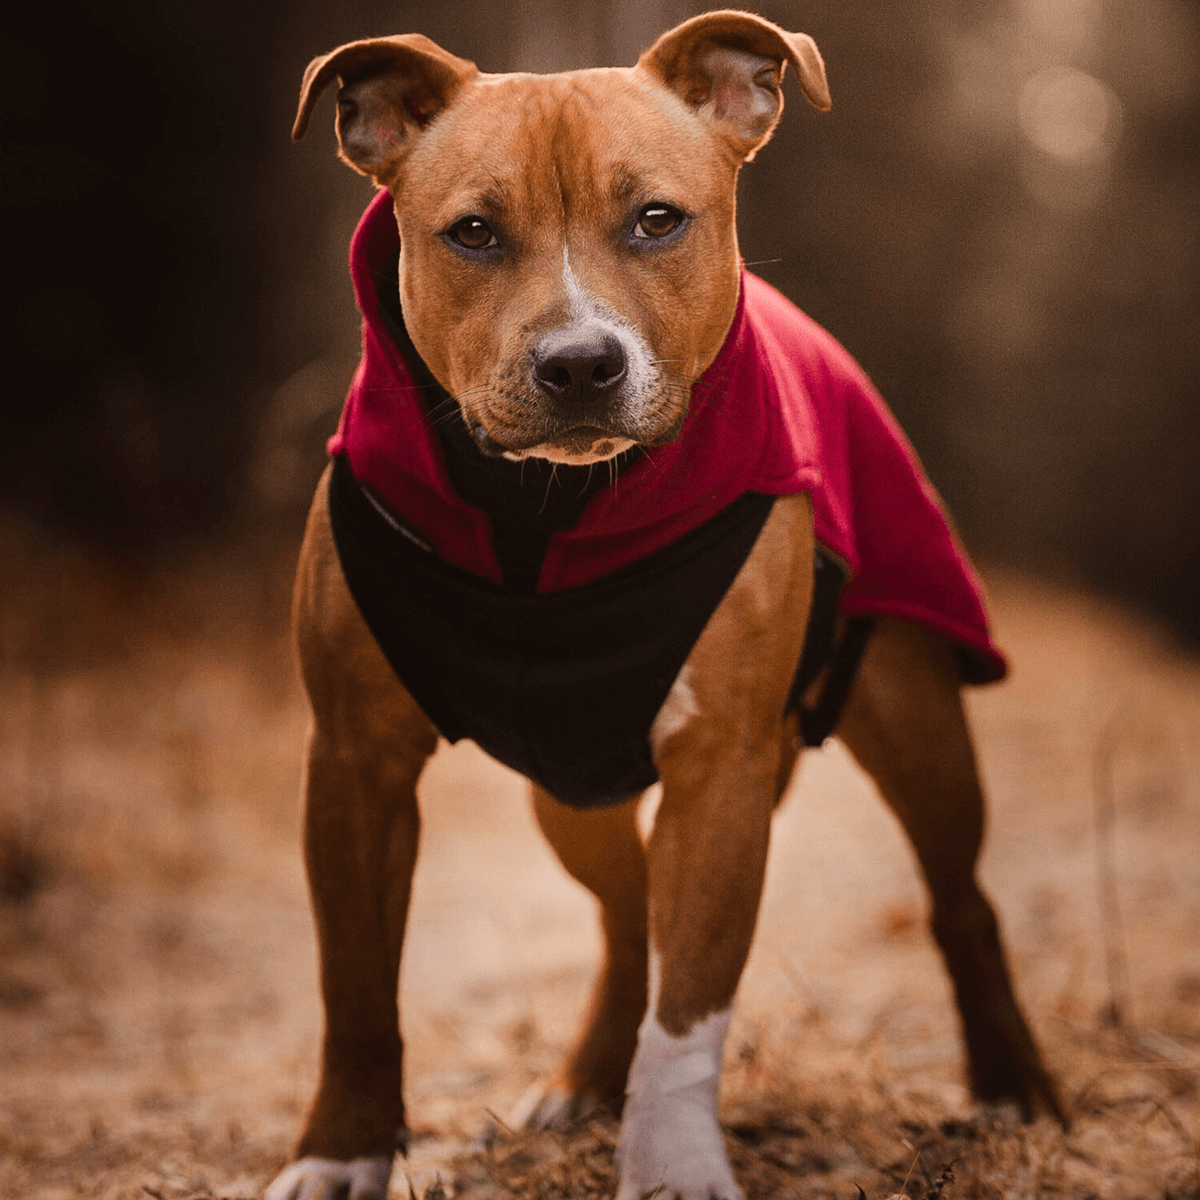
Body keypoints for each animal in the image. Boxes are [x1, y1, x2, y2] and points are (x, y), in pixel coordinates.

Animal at [270, 11, 1060, 1200]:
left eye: (656, 220)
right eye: (472, 234)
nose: (579, 363)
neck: (535, 517)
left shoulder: (721, 764)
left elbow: (691, 1007)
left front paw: (674, 1160)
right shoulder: (355, 761)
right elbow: (354, 984)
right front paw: (341, 1150)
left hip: (914, 713)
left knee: (961, 898)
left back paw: (1015, 1084)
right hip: (568, 789)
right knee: (628, 908)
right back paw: (588, 1078)